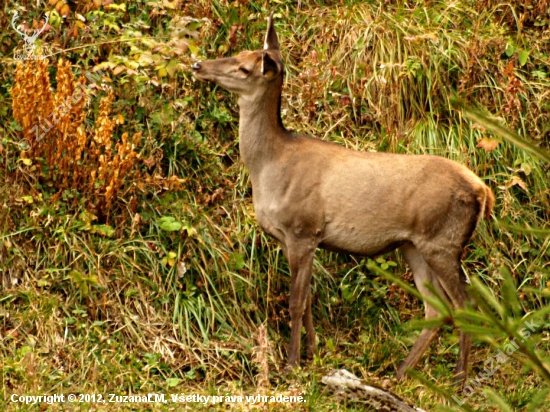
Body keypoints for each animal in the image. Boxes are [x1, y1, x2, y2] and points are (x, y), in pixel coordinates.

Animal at [194, 12, 496, 386]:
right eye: (237, 52)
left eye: (244, 68)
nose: (198, 64)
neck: (269, 166)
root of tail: (483, 191)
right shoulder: (294, 238)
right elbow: (308, 301)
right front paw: (311, 356)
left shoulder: (302, 228)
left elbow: (295, 302)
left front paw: (291, 366)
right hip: (414, 245)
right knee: (434, 307)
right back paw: (399, 373)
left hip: (443, 240)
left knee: (464, 305)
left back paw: (458, 378)